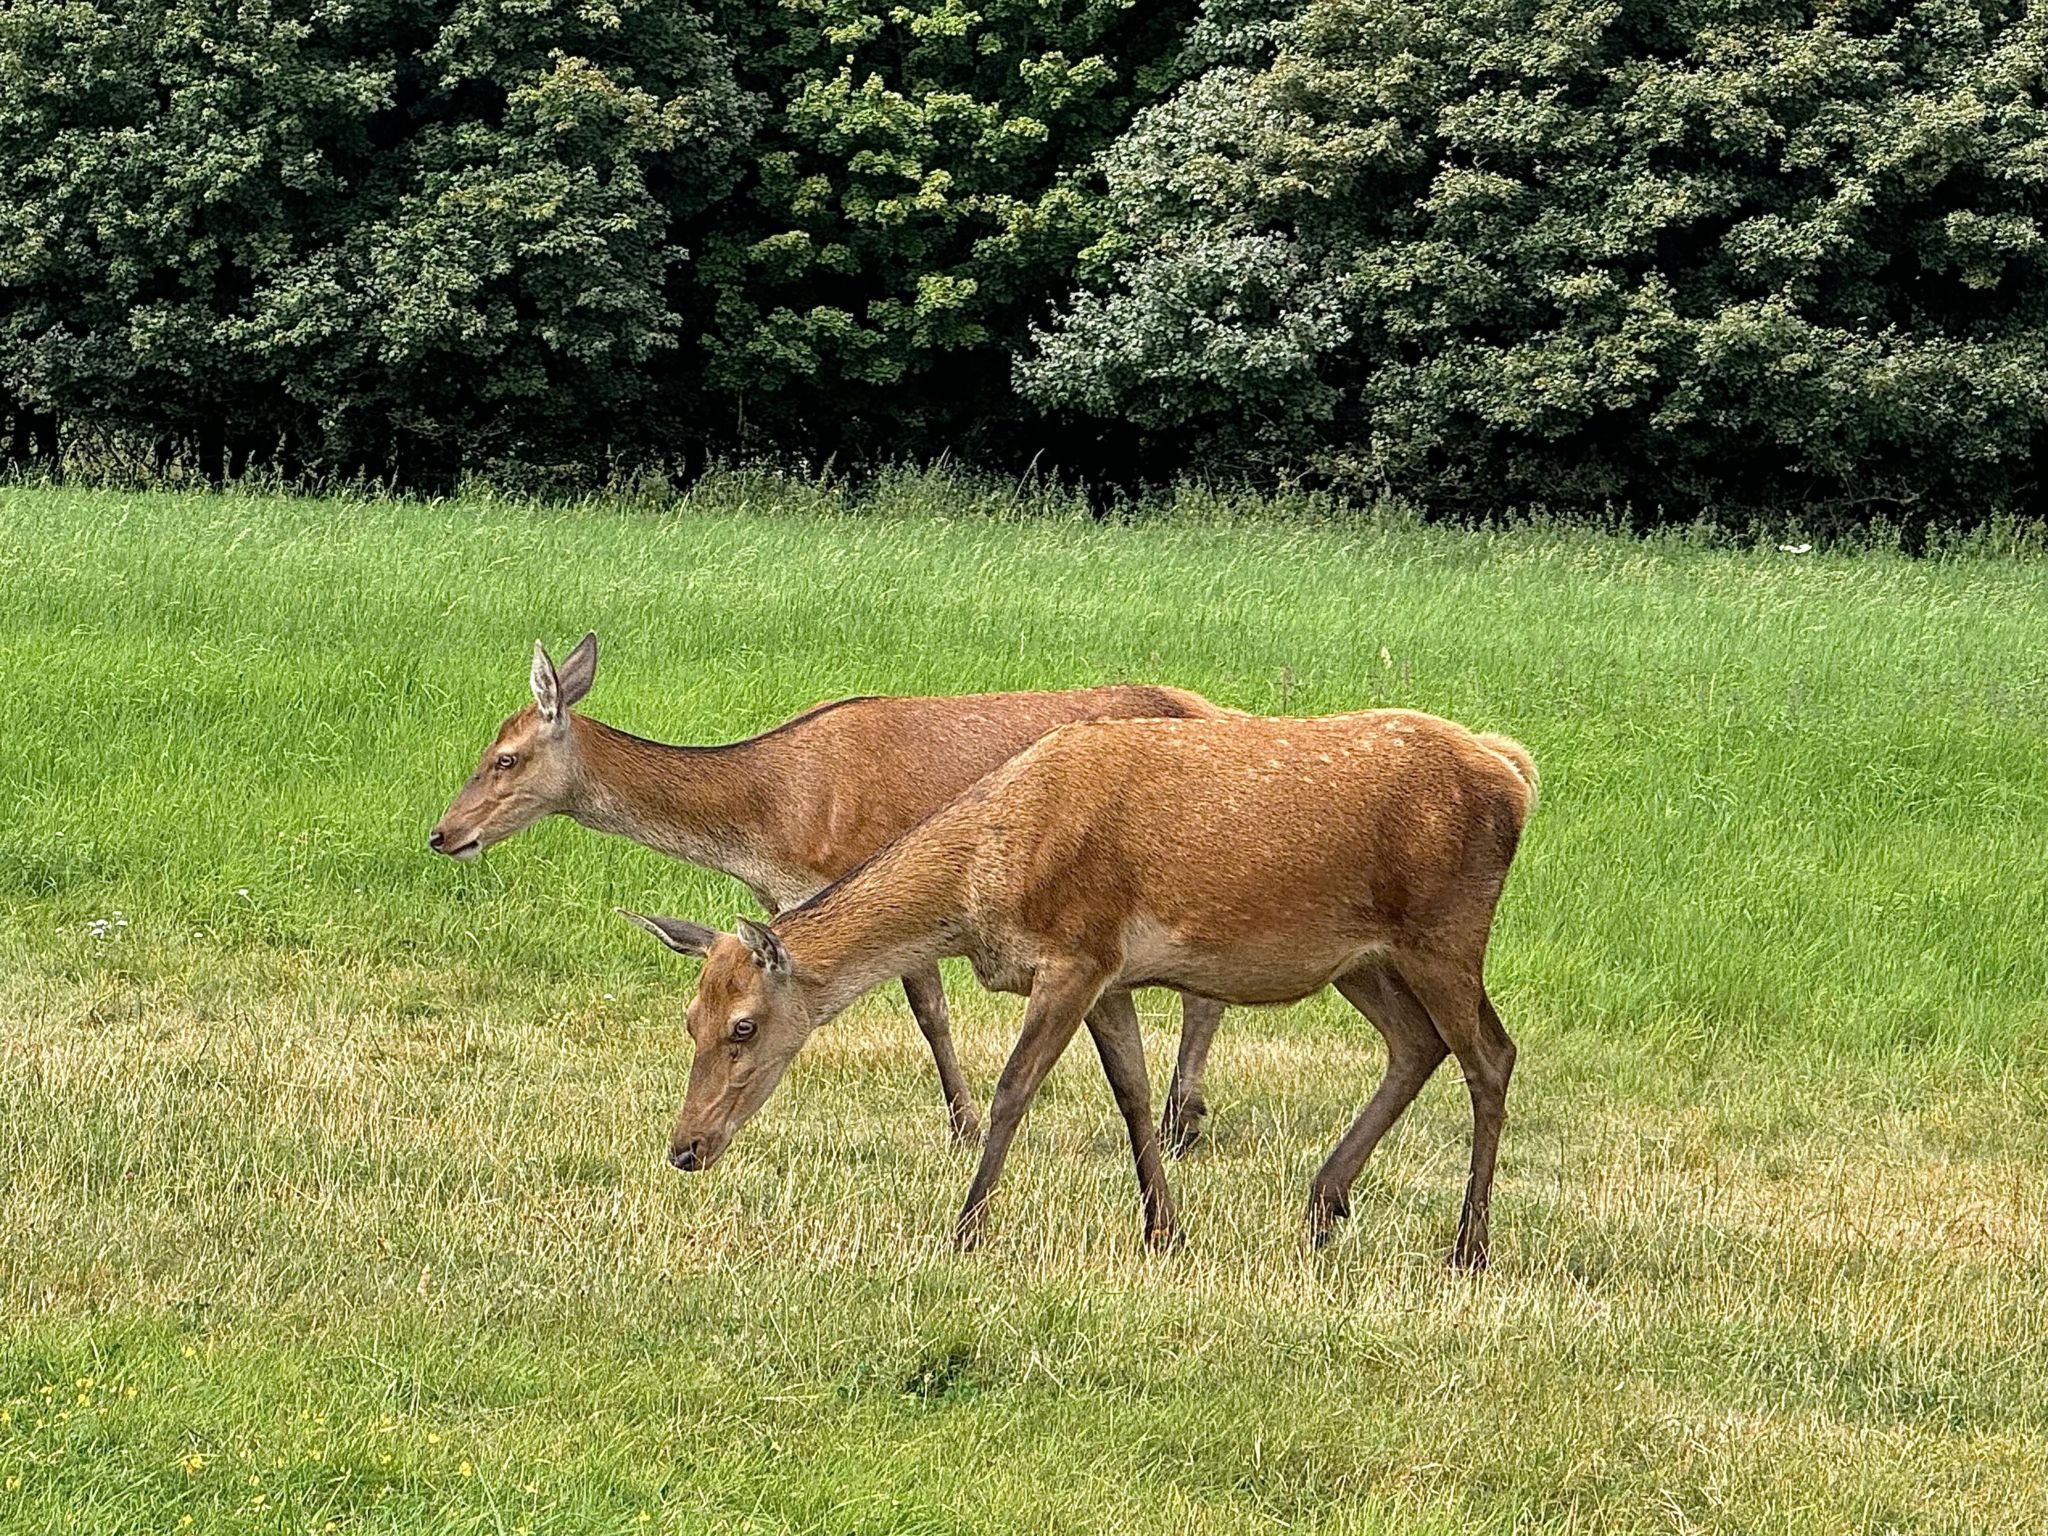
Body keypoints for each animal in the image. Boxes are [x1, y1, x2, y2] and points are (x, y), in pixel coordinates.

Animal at [428, 630, 1228, 1146]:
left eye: (504, 758)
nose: (442, 832)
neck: (767, 821)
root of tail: (1219, 708)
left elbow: (930, 1013)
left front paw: (963, 1126)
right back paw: (1184, 1116)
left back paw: (1181, 1120)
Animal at [622, 708, 1540, 1277]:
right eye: (690, 1019)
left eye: (743, 1027)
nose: (685, 1148)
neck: (984, 879)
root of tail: (1517, 772)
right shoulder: (1110, 973)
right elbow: (1131, 1091)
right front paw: (1165, 1232)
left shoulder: (1074, 953)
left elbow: (1014, 1088)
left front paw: (966, 1230)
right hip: (1364, 959)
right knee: (1417, 1044)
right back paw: (1322, 1204)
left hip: (1447, 929)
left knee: (1490, 1054)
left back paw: (1468, 1248)